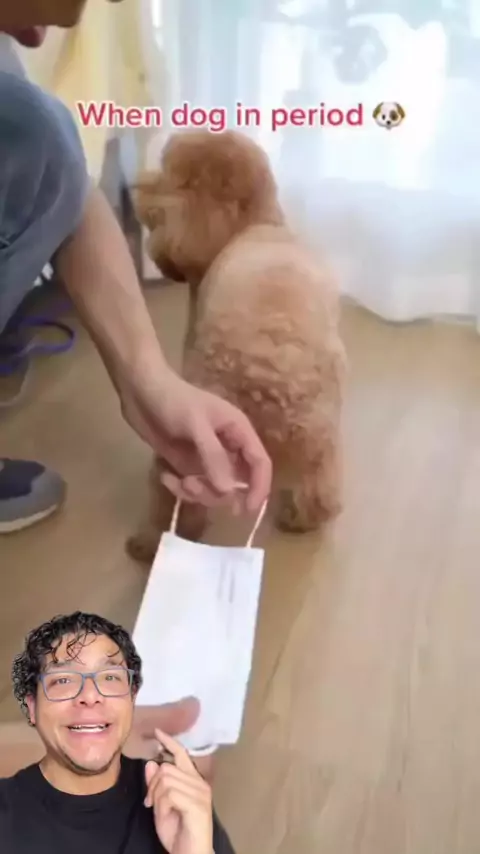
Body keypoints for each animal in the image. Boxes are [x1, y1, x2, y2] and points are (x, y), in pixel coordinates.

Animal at [126, 129, 347, 562]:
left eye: (168, 177)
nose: (135, 186)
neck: (257, 223)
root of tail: (271, 389)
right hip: (321, 440)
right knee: (322, 493)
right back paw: (300, 519)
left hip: (191, 447)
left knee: (172, 501)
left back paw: (150, 543)